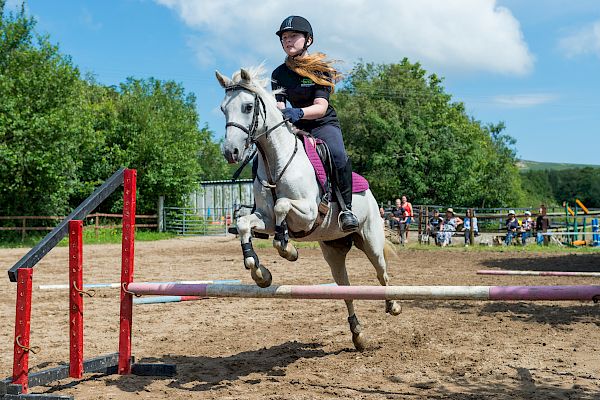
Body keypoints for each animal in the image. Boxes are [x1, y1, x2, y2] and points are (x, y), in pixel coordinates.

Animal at [213, 66, 400, 350]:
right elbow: (246, 223)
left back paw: (393, 304)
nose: (230, 152)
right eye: (223, 109)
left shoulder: (308, 214)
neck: (276, 162)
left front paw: (288, 249)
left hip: (371, 241)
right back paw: (358, 334)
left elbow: (282, 205)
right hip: (334, 251)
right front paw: (260, 272)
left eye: (247, 106)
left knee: (382, 274)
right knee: (346, 290)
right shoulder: (264, 219)